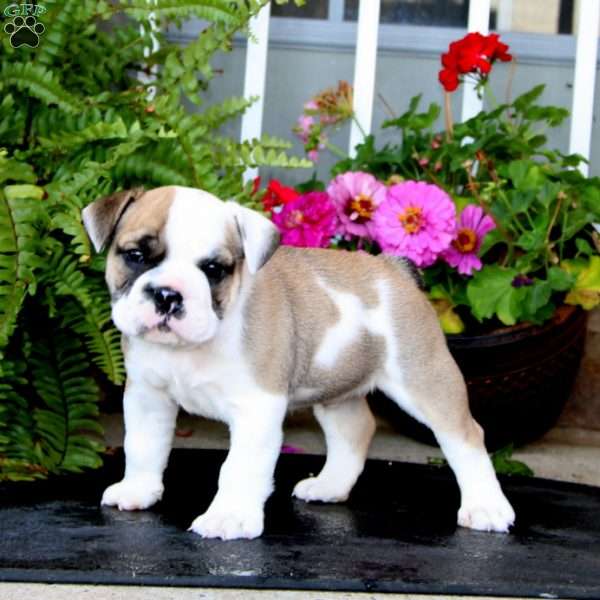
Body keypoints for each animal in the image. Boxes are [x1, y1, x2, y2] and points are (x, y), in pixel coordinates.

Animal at [82, 184, 516, 540]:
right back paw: (330, 486)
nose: (168, 295)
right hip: (336, 389)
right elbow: (143, 446)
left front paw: (229, 517)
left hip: (424, 380)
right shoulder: (147, 397)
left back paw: (486, 507)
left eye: (214, 270)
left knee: (465, 437)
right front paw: (138, 490)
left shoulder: (256, 410)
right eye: (136, 255)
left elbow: (238, 467)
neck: (193, 346)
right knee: (355, 429)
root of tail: (395, 269)